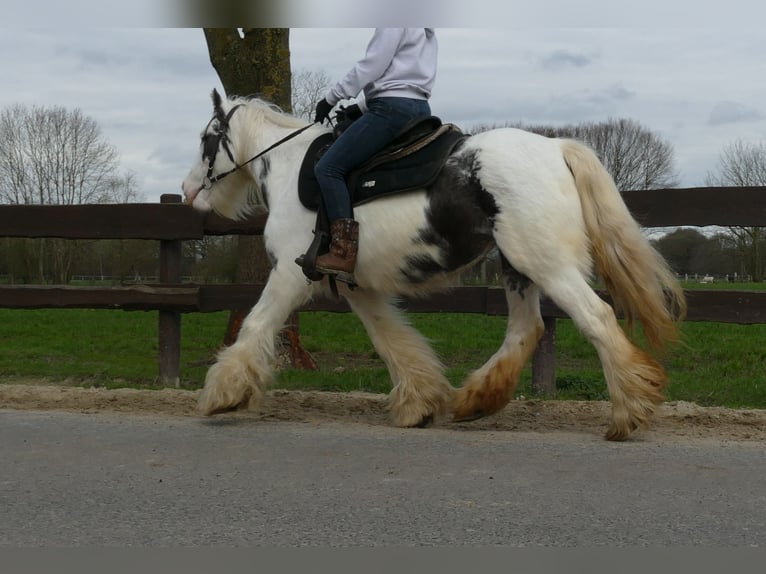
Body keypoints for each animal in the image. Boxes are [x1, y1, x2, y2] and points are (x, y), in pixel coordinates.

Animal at [183, 89, 688, 440]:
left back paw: (628, 412)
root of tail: (555, 149)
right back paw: (476, 401)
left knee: (597, 318)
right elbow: (392, 341)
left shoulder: (289, 275)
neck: (290, 169)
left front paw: (223, 393)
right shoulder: (358, 287)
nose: (189, 192)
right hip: (519, 267)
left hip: (546, 264)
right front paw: (420, 403)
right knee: (526, 330)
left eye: (207, 138)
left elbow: (255, 325)